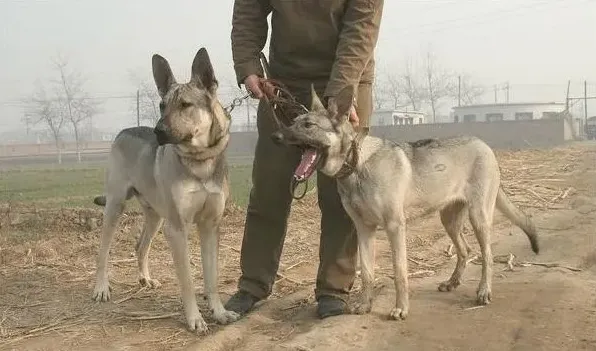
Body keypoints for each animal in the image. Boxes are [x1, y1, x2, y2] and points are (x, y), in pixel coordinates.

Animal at [90, 48, 237, 334]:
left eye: (185, 105)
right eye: (161, 105)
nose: (158, 131)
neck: (199, 161)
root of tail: (123, 131)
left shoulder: (210, 225)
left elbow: (211, 278)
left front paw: (219, 312)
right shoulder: (177, 229)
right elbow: (188, 280)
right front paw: (195, 319)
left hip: (156, 216)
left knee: (140, 245)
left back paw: (145, 279)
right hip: (115, 207)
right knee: (103, 251)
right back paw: (101, 288)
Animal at [274, 84, 540, 322]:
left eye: (308, 125)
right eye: (294, 121)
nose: (275, 135)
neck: (357, 165)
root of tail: (485, 145)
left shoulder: (395, 227)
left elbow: (399, 272)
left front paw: (401, 309)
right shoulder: (363, 229)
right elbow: (367, 273)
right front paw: (365, 304)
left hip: (479, 218)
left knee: (487, 255)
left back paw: (484, 291)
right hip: (449, 220)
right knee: (465, 250)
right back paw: (452, 282)